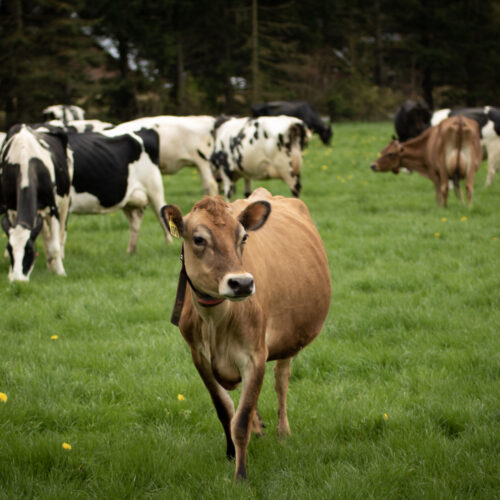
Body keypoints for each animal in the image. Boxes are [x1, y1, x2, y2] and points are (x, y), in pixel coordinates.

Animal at [0, 124, 73, 282]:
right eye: (9, 249)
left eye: (30, 250)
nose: (18, 280)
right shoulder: (11, 209)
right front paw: (10, 273)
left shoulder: (52, 209)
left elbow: (54, 246)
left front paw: (61, 272)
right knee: (45, 235)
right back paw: (50, 263)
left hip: (65, 202)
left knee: (60, 236)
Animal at [161, 188, 332, 480]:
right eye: (198, 239)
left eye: (243, 237)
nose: (241, 283)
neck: (216, 322)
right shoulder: (200, 358)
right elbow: (225, 410)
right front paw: (231, 454)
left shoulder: (255, 355)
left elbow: (239, 420)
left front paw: (240, 475)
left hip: (287, 340)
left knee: (281, 380)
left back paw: (282, 431)